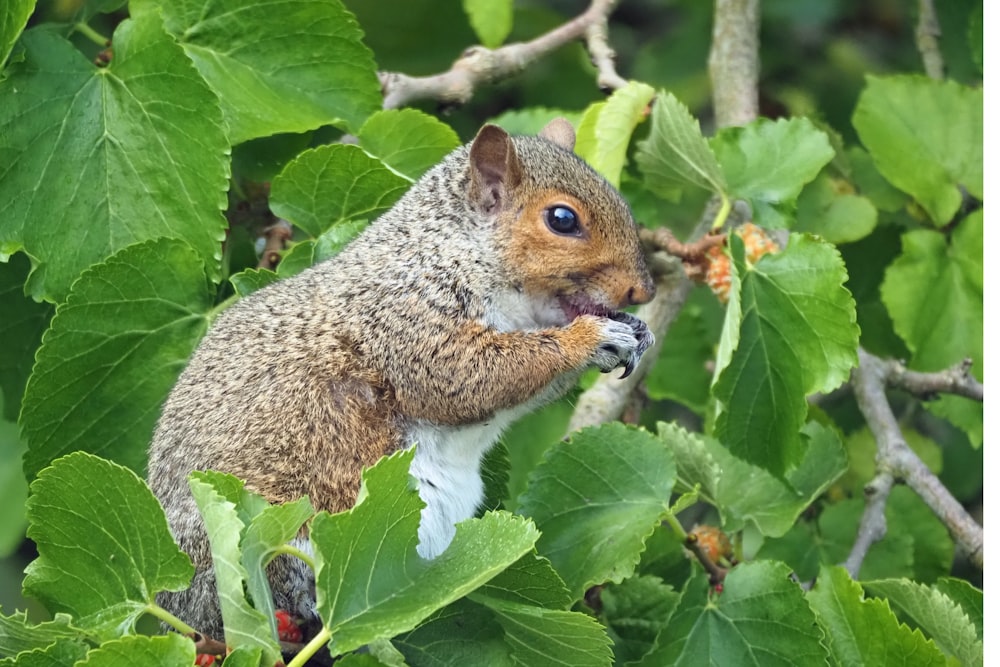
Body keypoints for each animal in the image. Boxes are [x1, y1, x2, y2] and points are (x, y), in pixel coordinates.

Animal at [143, 118, 656, 640]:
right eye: (562, 219)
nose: (644, 290)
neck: (455, 248)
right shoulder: (407, 318)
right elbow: (465, 374)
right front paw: (589, 338)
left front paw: (637, 330)